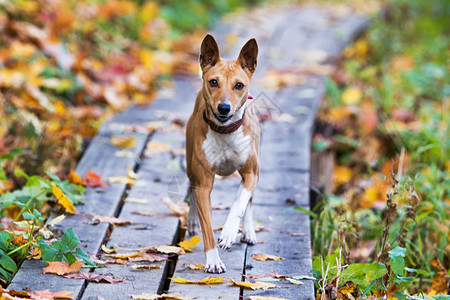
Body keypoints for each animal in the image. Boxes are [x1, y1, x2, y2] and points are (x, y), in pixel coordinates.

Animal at [185, 34, 260, 274]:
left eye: (239, 85)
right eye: (213, 82)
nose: (224, 108)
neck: (225, 131)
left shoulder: (251, 173)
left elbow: (240, 202)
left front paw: (229, 232)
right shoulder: (204, 183)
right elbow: (207, 226)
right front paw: (213, 261)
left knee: (248, 199)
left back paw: (248, 231)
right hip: (190, 166)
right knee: (191, 190)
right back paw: (191, 221)